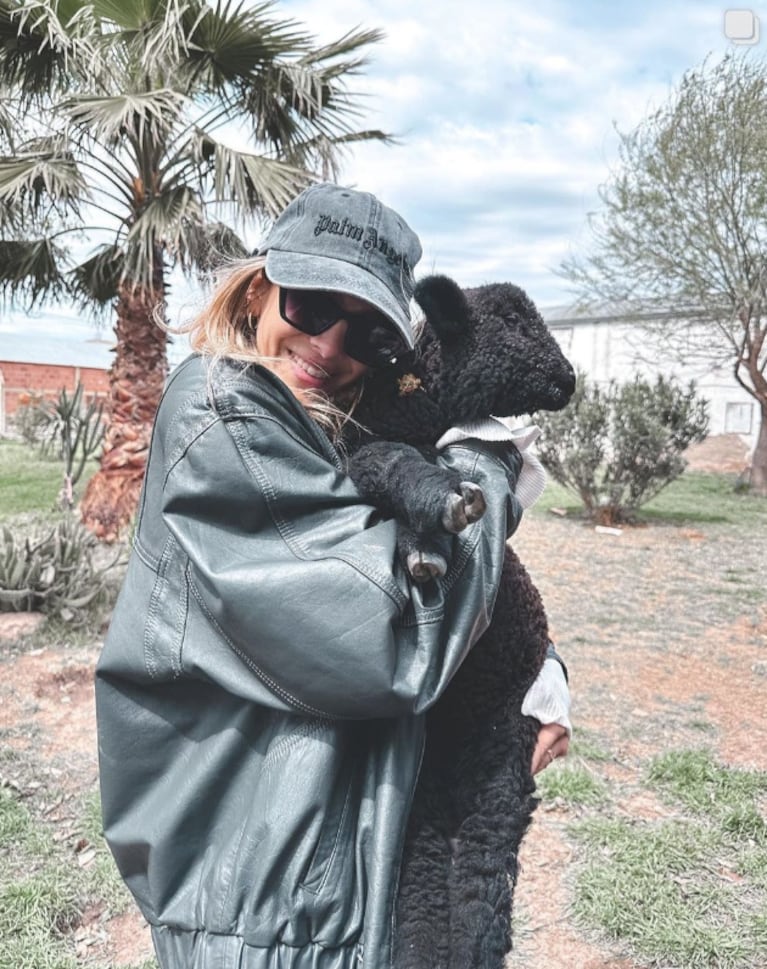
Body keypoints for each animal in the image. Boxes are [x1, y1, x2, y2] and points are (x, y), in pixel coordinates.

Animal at [344, 274, 572, 968]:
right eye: (515, 324)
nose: (570, 378)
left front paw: (435, 522)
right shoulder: (356, 450)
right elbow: (384, 461)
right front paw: (434, 509)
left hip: (505, 757)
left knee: (482, 877)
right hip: (426, 795)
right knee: (424, 882)